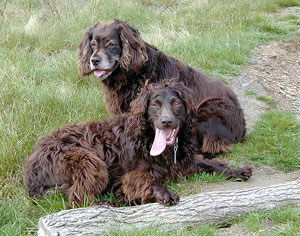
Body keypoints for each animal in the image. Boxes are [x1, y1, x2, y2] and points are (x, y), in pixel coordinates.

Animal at [23, 79, 251, 205]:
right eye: (155, 105)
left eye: (177, 103)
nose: (166, 122)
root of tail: (31, 171)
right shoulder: (129, 174)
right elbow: (147, 181)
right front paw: (164, 193)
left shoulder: (186, 160)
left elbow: (211, 163)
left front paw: (237, 170)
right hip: (89, 162)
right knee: (78, 199)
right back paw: (113, 202)